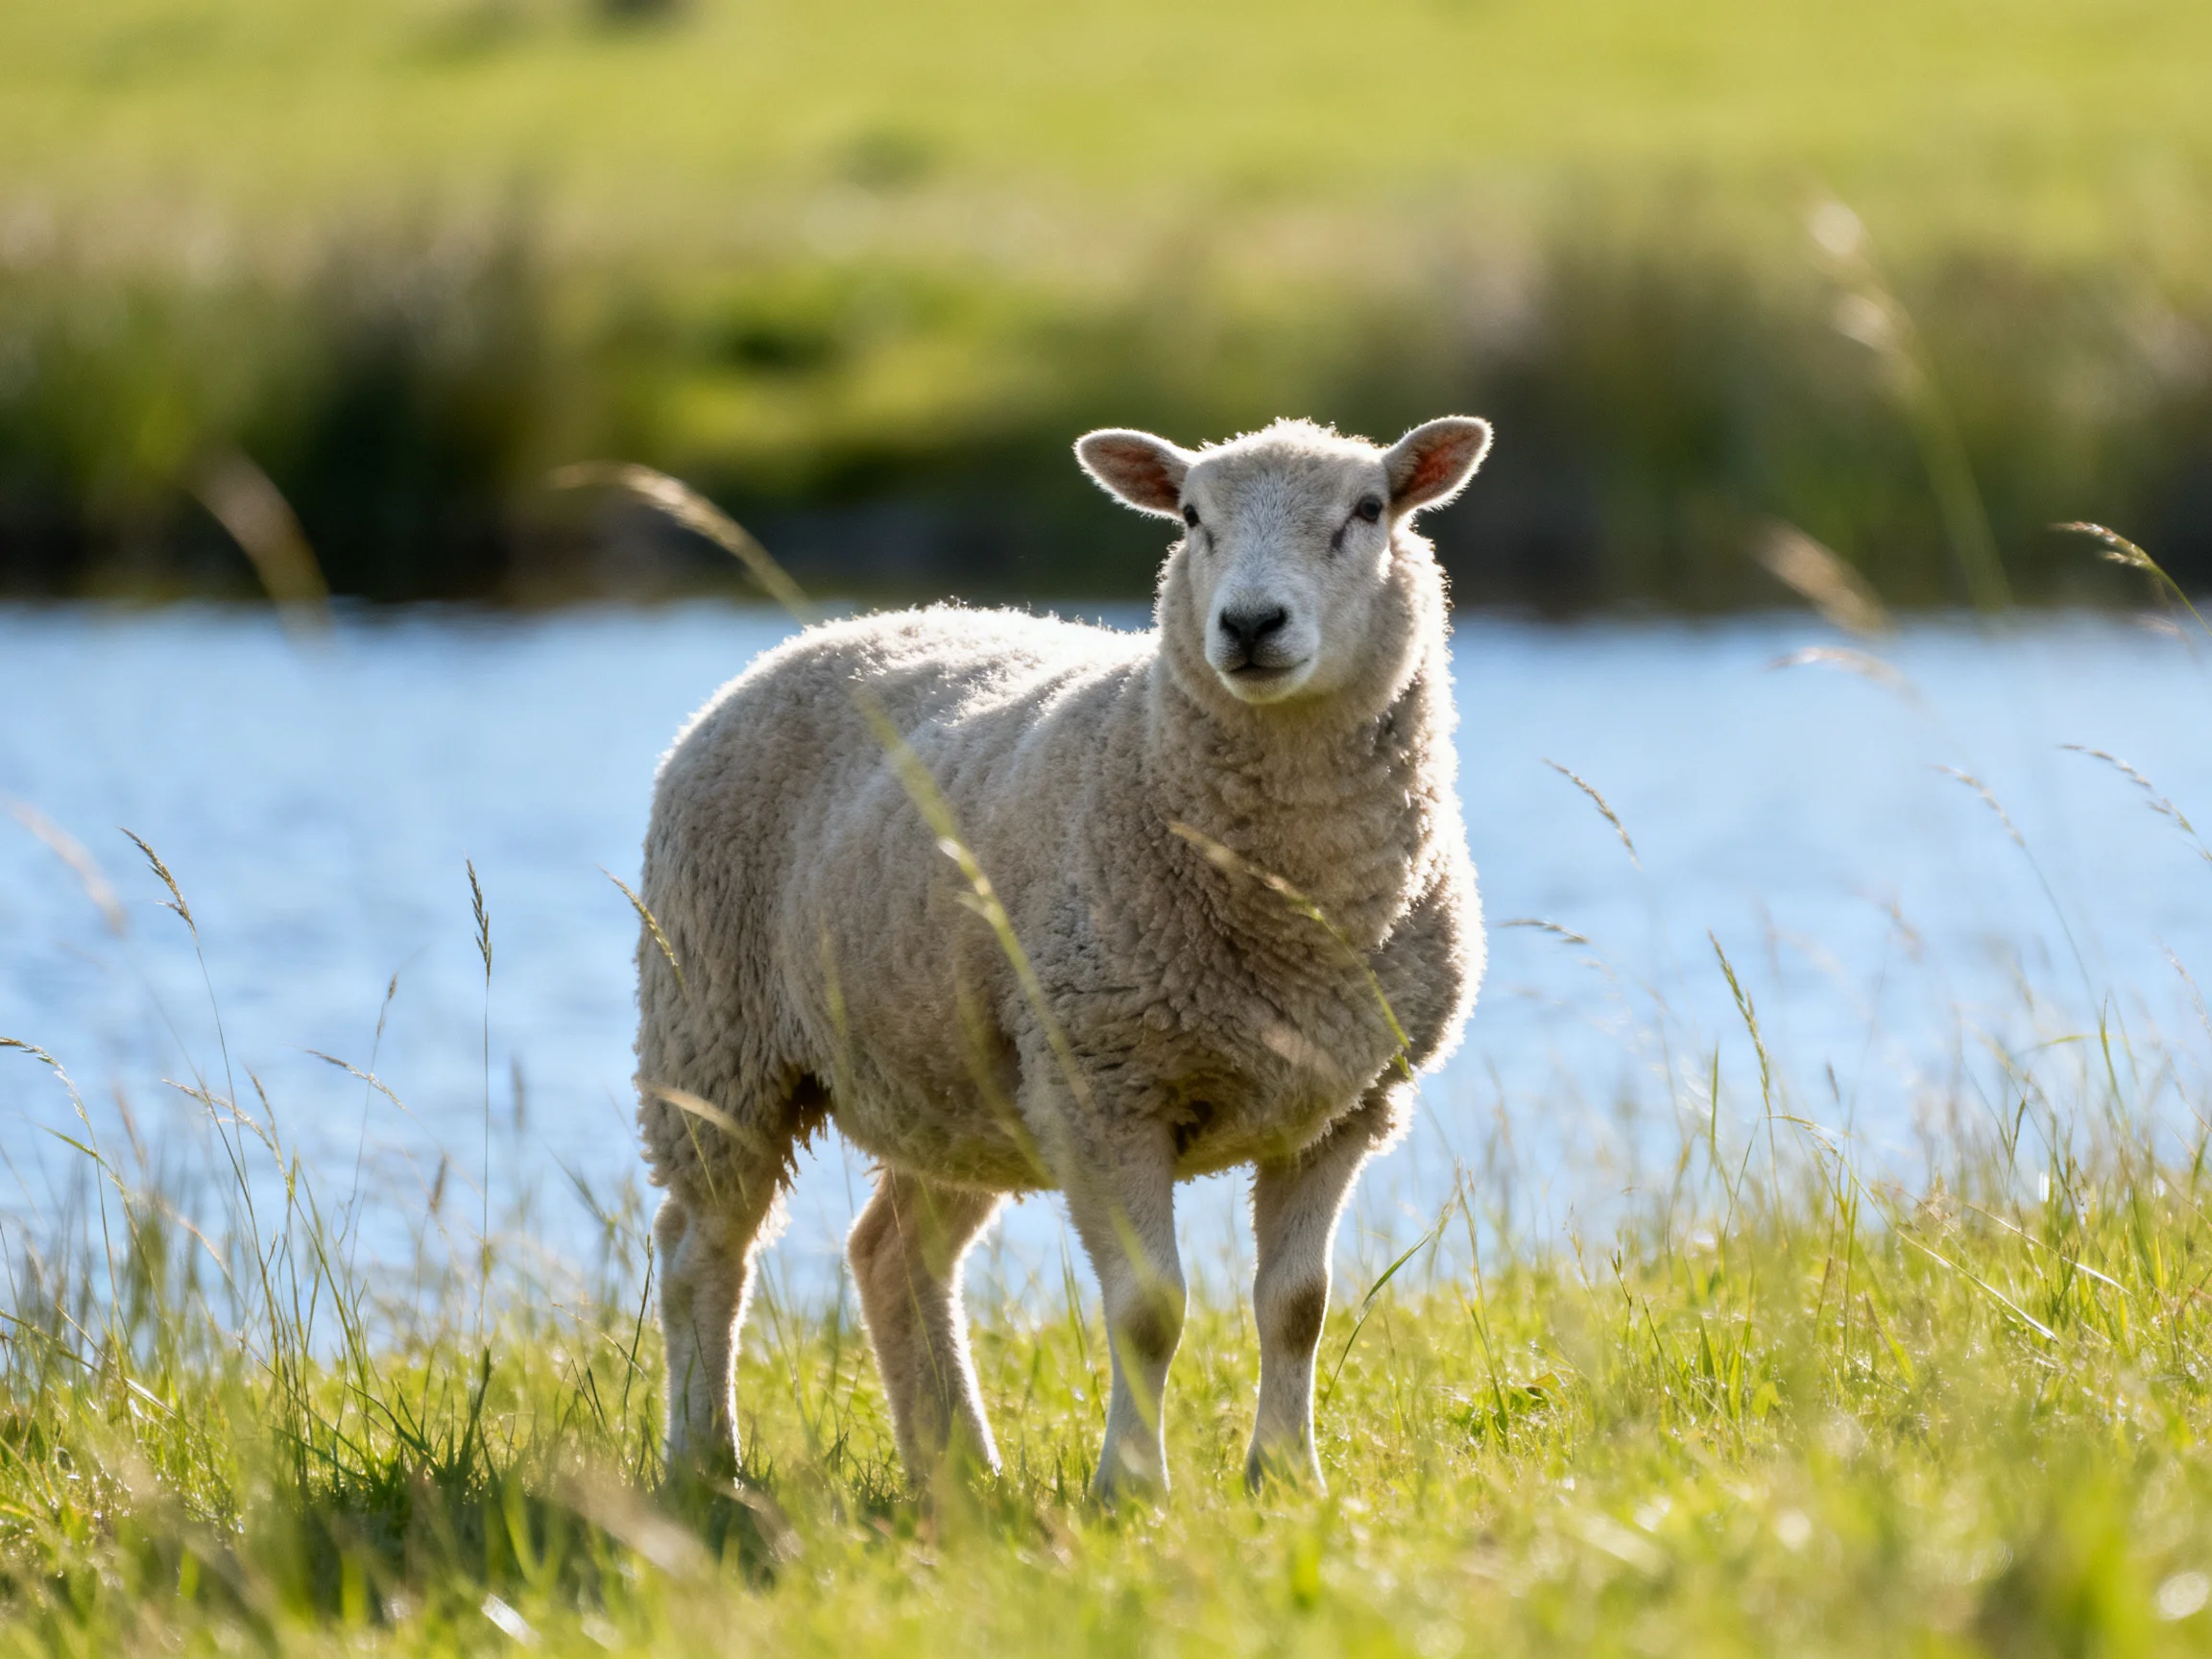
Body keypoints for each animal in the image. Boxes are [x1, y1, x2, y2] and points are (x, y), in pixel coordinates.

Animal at [634, 415, 1491, 1498]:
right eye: (1191, 517)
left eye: (1369, 510)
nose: (1251, 624)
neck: (1290, 903)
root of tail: (815, 636)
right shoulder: (1104, 1091)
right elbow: (1150, 1311)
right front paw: (1132, 1486)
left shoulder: (1345, 1102)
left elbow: (1298, 1306)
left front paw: (1287, 1478)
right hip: (716, 1037)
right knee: (701, 1252)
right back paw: (708, 1460)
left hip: (960, 1082)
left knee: (891, 1257)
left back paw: (959, 1472)